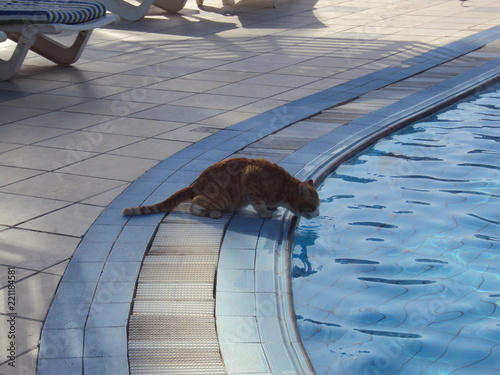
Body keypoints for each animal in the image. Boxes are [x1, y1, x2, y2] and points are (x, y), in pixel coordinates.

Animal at [122, 158, 320, 220]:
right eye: (314, 207)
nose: (318, 214)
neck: (283, 186)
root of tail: (194, 185)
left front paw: (272, 207)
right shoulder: (252, 186)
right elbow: (259, 205)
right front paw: (266, 212)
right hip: (217, 198)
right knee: (194, 207)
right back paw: (214, 213)